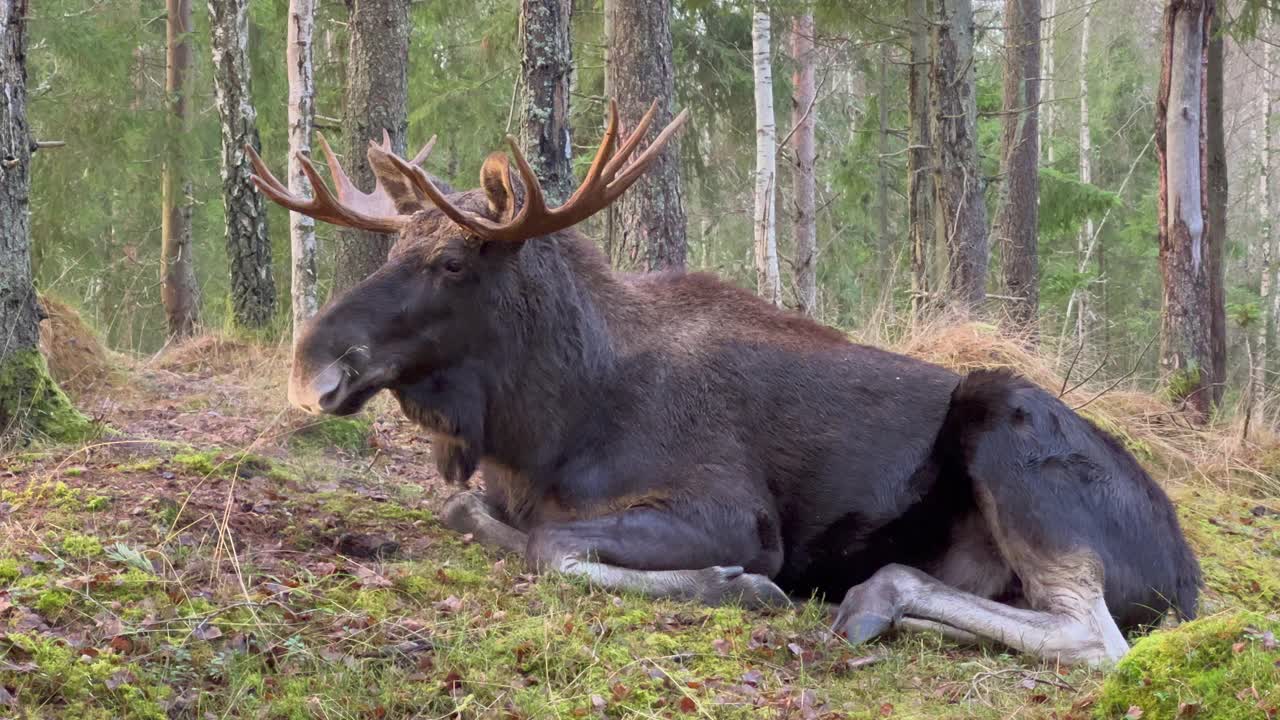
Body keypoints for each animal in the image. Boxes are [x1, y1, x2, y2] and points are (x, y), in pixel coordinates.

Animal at [247, 98, 1198, 666]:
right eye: (392, 251)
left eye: (449, 260)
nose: (310, 366)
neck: (544, 424)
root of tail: (1187, 577)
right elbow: (469, 513)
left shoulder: (731, 511)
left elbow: (554, 547)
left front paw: (733, 585)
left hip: (1006, 413)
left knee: (1091, 635)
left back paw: (878, 596)